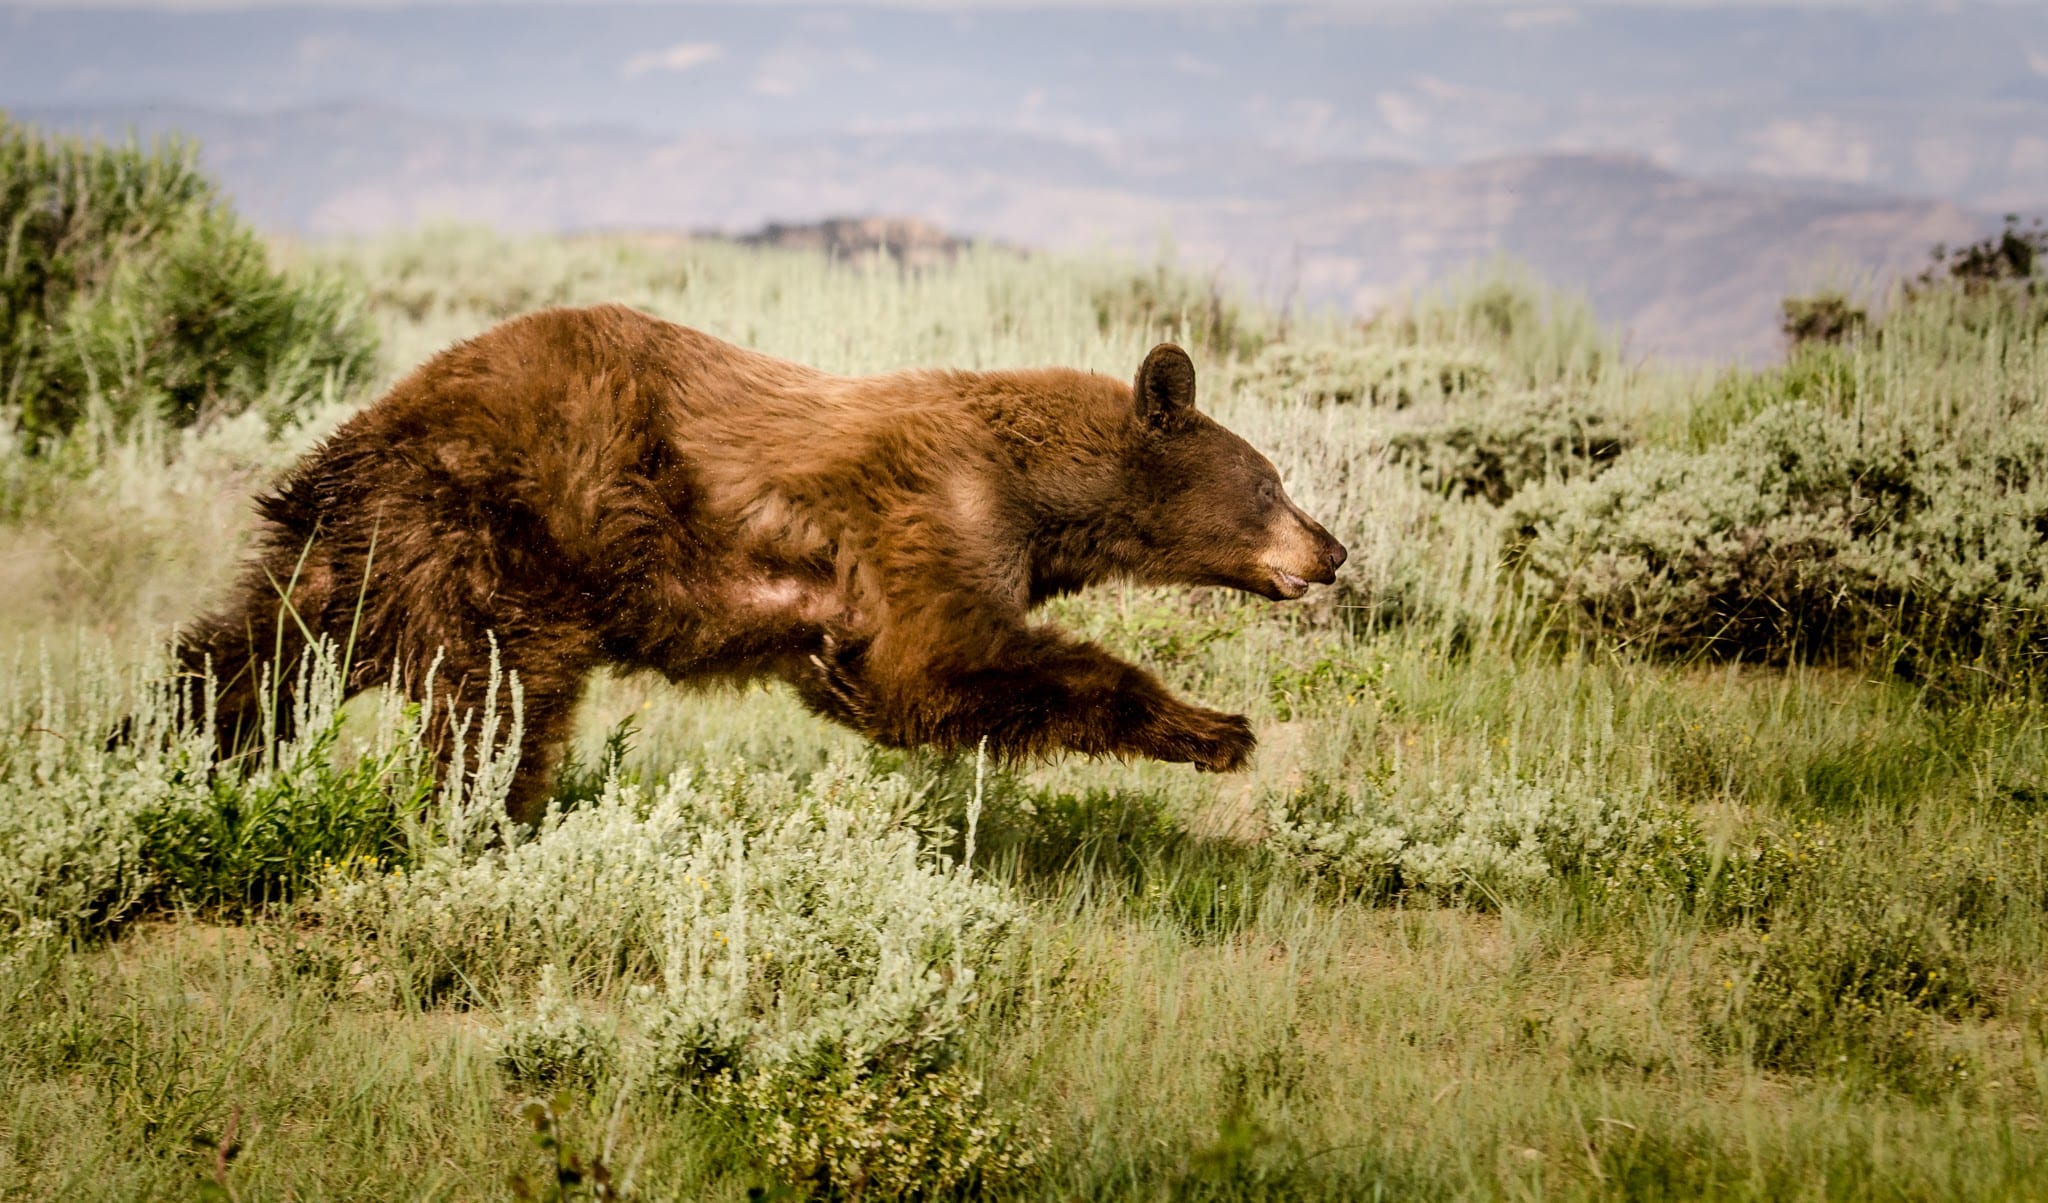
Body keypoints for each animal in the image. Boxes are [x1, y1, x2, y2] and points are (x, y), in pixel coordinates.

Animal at [180, 305, 1343, 823]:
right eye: (1270, 481)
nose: (1331, 550)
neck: (1036, 486)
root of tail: (373, 428)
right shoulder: (933, 510)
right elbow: (944, 661)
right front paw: (1215, 729)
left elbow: (895, 682)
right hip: (502, 534)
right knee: (505, 698)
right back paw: (489, 822)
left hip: (355, 550)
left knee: (251, 650)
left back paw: (175, 745)